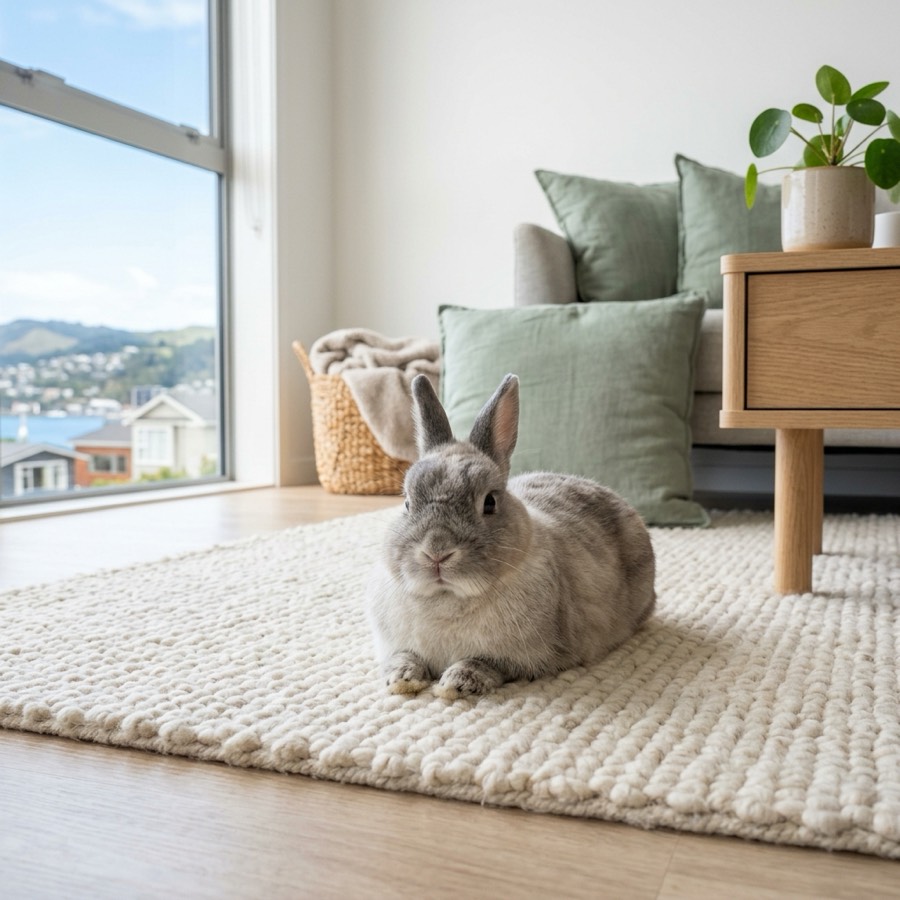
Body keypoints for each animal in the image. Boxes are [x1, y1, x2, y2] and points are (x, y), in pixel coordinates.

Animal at [365, 373, 656, 700]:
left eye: (490, 502)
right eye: (407, 502)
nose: (436, 552)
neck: (448, 597)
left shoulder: (528, 658)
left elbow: (487, 664)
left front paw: (455, 683)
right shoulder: (395, 645)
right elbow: (403, 657)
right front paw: (401, 679)